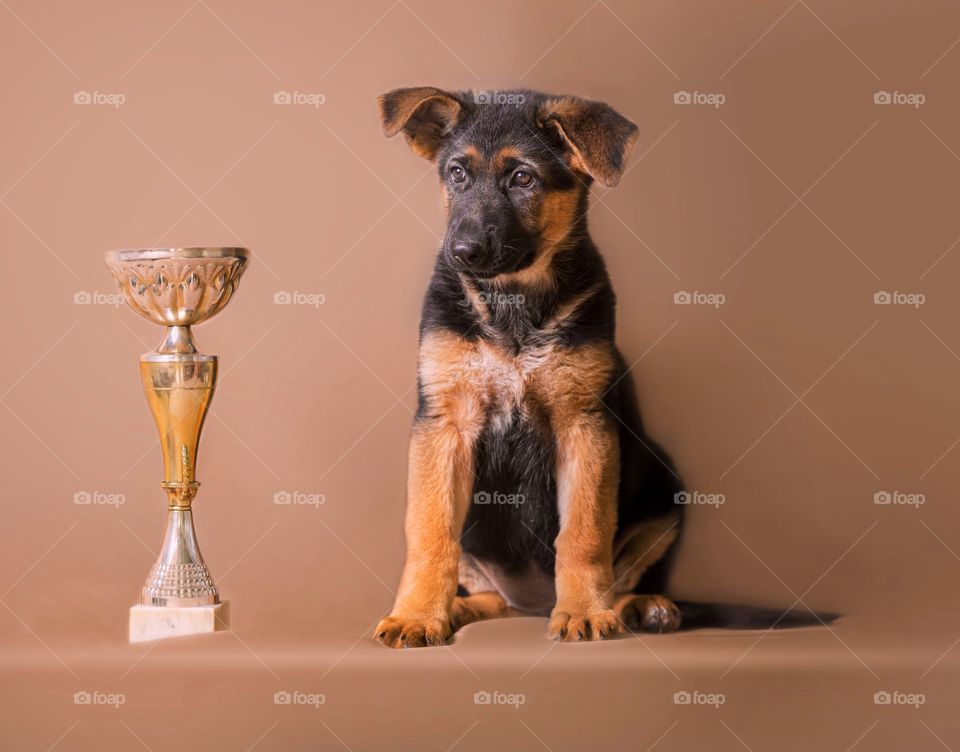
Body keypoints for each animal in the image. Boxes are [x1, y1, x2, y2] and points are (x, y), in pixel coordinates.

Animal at [372, 88, 820, 648]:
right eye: (456, 173)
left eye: (524, 178)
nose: (463, 252)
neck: (514, 304)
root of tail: (534, 604)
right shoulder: (444, 425)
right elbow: (430, 532)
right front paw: (417, 614)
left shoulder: (584, 426)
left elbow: (584, 533)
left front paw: (584, 611)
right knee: (491, 594)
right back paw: (460, 608)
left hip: (665, 484)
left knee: (621, 572)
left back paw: (641, 608)